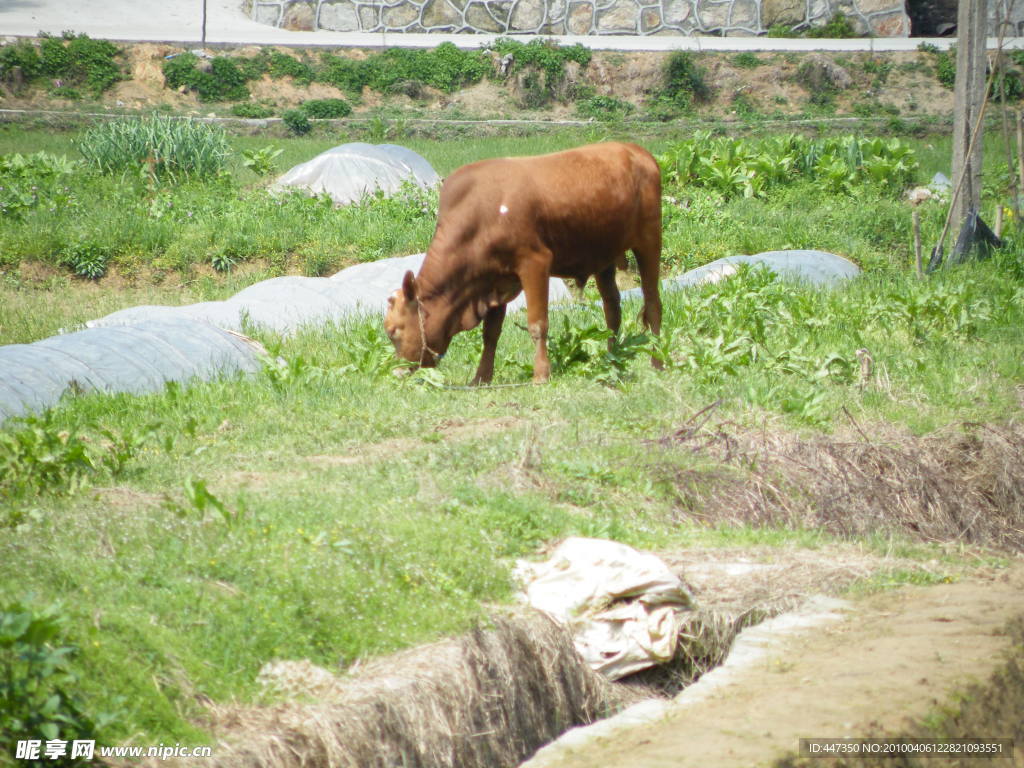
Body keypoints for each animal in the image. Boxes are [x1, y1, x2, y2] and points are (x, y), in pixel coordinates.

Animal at [385, 140, 663, 385]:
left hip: (649, 240)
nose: (397, 373)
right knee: (612, 309)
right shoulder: (494, 279)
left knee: (652, 304)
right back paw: (611, 361)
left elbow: (537, 324)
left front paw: (540, 375)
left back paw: (657, 362)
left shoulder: (535, 263)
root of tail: (635, 150)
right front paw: (481, 378)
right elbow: (491, 333)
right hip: (603, 256)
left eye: (393, 331)